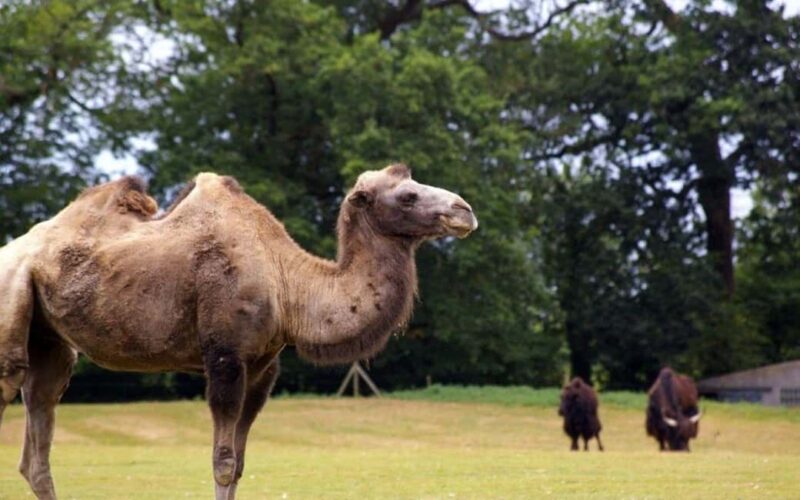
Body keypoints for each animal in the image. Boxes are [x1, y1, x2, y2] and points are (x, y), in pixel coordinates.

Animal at [0, 164, 477, 499]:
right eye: (409, 194)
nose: (464, 210)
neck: (287, 283)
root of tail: (15, 246)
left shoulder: (262, 368)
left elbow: (241, 464)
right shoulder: (225, 358)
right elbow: (224, 463)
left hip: (49, 339)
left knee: (38, 432)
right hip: (12, 297)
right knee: (13, 381)